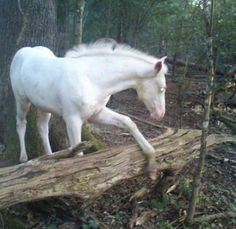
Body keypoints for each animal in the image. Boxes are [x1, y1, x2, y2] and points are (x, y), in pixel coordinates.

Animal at [9, 43, 168, 175]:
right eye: (162, 88)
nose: (160, 115)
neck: (93, 79)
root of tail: (23, 51)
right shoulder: (72, 120)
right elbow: (78, 154)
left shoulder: (97, 114)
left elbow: (128, 122)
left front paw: (151, 158)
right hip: (22, 100)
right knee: (21, 123)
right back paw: (23, 158)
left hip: (43, 106)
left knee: (42, 128)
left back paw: (50, 157)